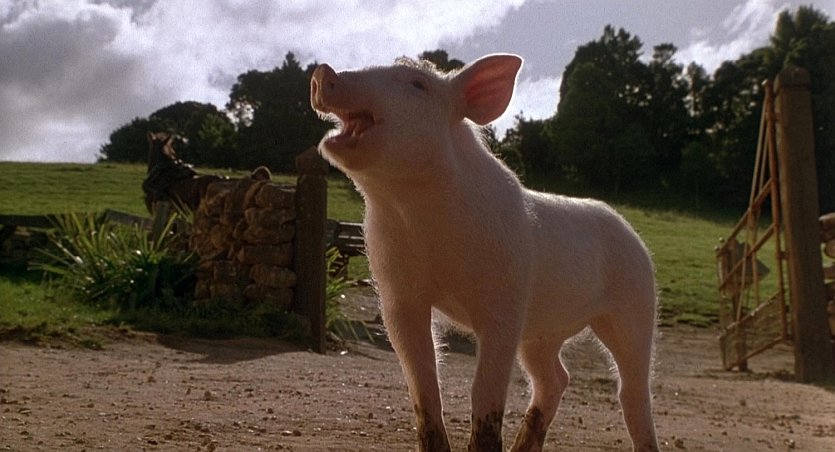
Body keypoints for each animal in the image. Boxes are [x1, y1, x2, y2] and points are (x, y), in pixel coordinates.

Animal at [310, 54, 659, 452]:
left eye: (418, 84)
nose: (323, 72)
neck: (423, 222)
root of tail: (631, 232)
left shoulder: (506, 301)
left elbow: (485, 393)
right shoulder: (399, 296)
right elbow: (424, 389)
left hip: (635, 304)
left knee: (632, 388)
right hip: (540, 333)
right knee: (556, 378)